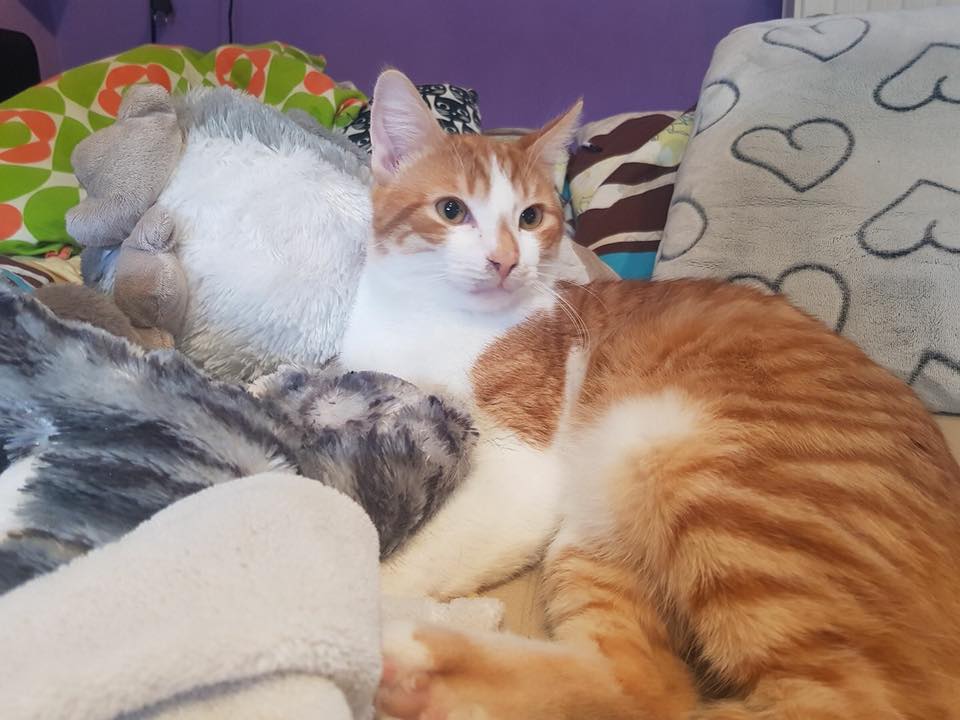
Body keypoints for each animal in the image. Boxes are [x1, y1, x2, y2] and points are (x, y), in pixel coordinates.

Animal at [337, 70, 960, 719]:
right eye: (451, 210)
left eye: (531, 217)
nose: (505, 260)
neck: (431, 319)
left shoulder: (520, 470)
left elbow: (396, 558)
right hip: (599, 528)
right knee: (645, 683)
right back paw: (424, 672)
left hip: (704, 476)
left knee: (846, 698)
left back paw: (407, 652)